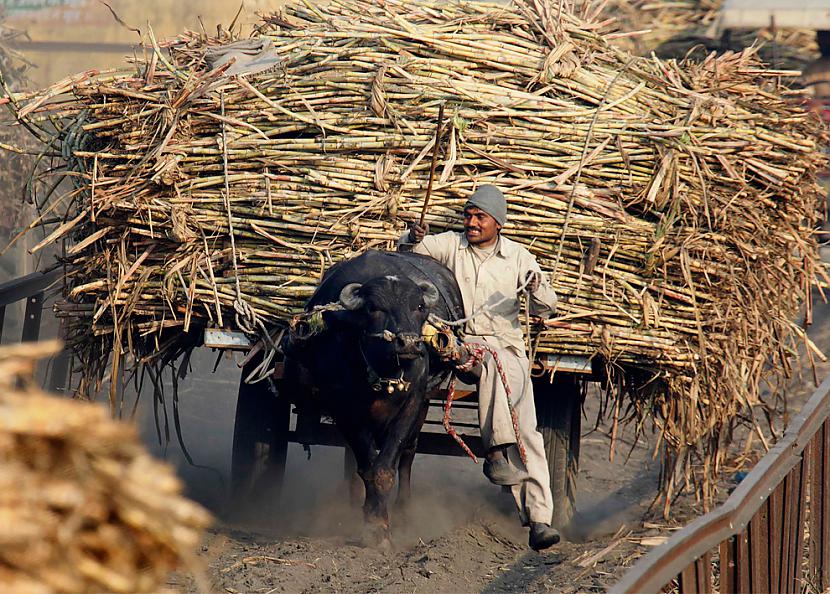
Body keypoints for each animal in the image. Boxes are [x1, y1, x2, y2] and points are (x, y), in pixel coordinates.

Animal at [278, 247, 462, 544]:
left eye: (419, 307)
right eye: (375, 308)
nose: (408, 343)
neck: (382, 368)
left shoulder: (411, 404)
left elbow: (385, 468)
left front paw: (382, 525)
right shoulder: (345, 410)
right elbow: (366, 467)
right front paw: (373, 523)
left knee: (408, 454)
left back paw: (404, 509)